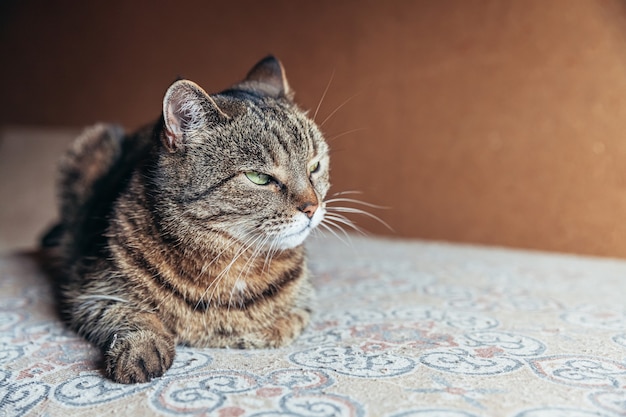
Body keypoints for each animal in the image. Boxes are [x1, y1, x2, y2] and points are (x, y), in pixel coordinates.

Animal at [41, 56, 330, 384]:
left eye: (315, 166)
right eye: (259, 177)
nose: (312, 207)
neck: (228, 261)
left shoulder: (302, 306)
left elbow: (275, 327)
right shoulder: (86, 291)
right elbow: (132, 315)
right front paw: (142, 348)